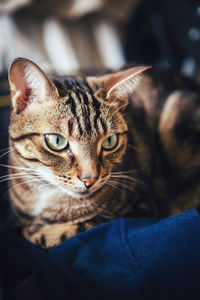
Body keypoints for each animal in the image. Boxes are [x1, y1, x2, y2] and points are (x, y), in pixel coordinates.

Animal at [8, 56, 200, 248]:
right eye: (57, 141)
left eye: (109, 142)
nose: (90, 180)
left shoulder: (139, 209)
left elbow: (73, 229)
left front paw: (37, 231)